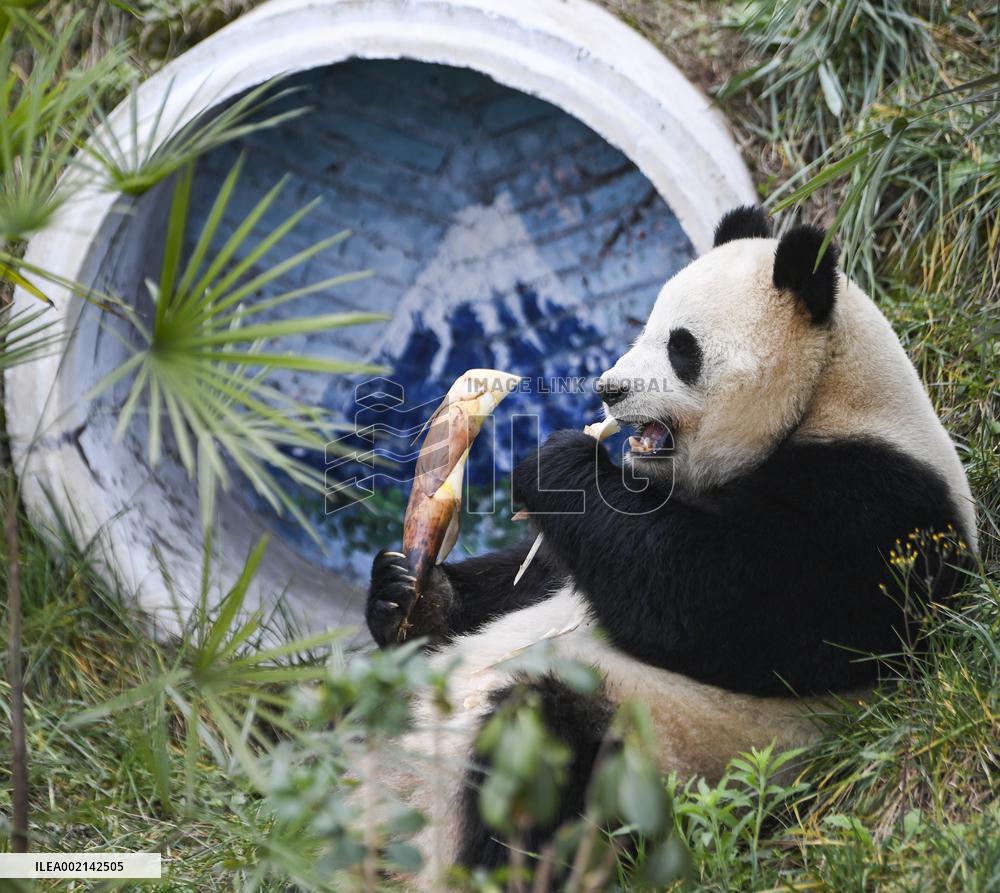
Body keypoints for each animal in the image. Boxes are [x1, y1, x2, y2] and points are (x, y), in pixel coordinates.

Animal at [363, 206, 976, 887]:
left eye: (682, 347)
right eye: (646, 326)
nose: (609, 390)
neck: (827, 395)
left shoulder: (872, 513)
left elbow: (710, 602)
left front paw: (557, 462)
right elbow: (549, 568)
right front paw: (409, 596)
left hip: (652, 747)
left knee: (537, 751)